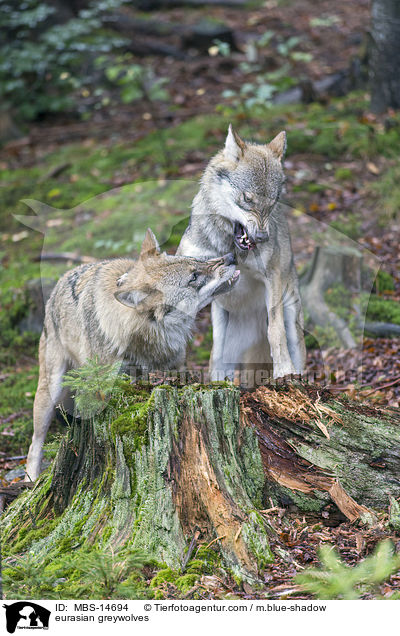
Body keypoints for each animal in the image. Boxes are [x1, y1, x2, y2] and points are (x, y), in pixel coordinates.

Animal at [26, 229, 239, 482]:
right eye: (194, 277)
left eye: (196, 260)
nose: (231, 256)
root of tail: (59, 282)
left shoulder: (175, 371)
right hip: (50, 392)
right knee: (35, 444)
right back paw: (30, 480)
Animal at [177, 126, 304, 380]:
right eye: (247, 199)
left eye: (273, 203)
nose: (263, 237)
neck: (230, 247)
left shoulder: (272, 277)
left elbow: (275, 331)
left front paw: (284, 371)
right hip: (222, 324)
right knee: (217, 355)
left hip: (292, 315)